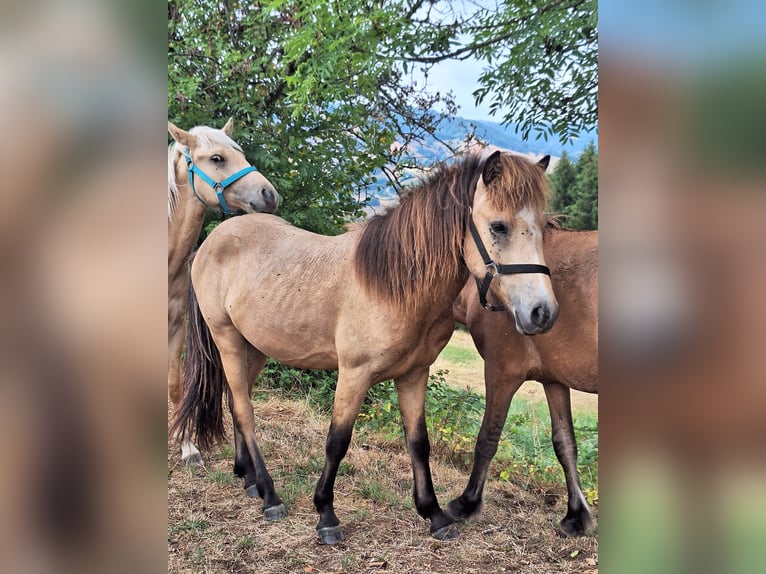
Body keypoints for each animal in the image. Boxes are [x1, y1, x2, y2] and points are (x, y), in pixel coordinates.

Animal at [172, 151, 558, 544]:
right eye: (498, 227)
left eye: (543, 228)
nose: (542, 313)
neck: (394, 285)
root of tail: (214, 239)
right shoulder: (354, 375)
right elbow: (337, 441)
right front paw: (326, 515)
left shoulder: (414, 375)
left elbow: (419, 443)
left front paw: (434, 514)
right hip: (227, 340)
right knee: (245, 410)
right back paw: (270, 495)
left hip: (255, 347)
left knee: (237, 403)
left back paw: (249, 478)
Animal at [446, 220, 598, 537]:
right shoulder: (555, 381)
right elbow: (565, 444)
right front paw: (576, 516)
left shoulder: (501, 371)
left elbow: (488, 437)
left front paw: (467, 503)